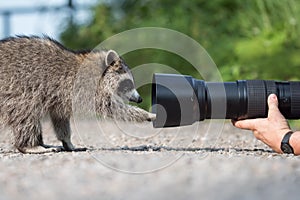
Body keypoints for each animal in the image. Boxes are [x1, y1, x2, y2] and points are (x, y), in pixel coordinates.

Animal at [0, 36, 155, 153]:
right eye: (128, 84)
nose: (140, 99)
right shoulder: (84, 86)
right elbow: (110, 107)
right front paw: (146, 114)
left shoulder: (60, 98)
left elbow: (60, 117)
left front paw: (67, 141)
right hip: (17, 91)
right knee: (26, 114)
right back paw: (29, 145)